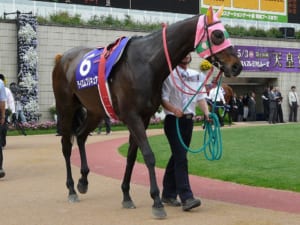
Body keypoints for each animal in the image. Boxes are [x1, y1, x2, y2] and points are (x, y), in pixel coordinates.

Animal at [52, 6, 241, 218]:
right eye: (217, 35)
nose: (237, 66)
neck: (146, 63)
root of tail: (62, 59)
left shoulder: (144, 117)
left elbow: (132, 156)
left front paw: (126, 195)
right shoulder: (132, 116)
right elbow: (149, 155)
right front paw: (157, 202)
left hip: (95, 111)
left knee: (81, 136)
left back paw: (83, 181)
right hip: (66, 108)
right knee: (66, 145)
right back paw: (71, 189)